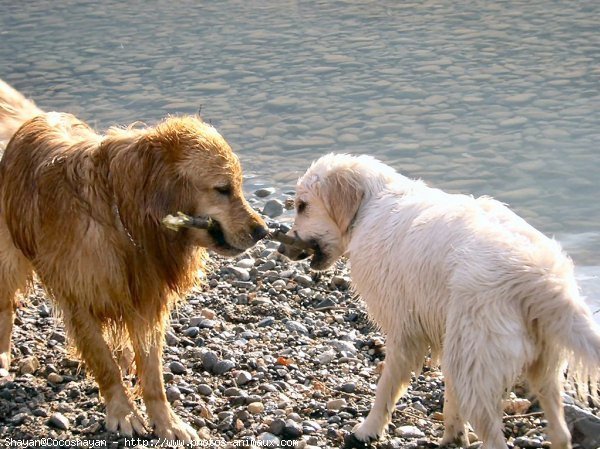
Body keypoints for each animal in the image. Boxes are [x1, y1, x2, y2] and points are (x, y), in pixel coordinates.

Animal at [0, 79, 268, 440]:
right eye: (223, 189)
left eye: (239, 186)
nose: (263, 231)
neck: (123, 216)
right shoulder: (79, 298)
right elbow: (103, 363)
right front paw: (123, 411)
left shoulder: (147, 297)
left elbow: (152, 373)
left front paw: (167, 421)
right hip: (8, 257)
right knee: (6, 305)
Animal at [278, 153, 596, 448]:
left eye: (302, 205)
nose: (282, 248)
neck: (370, 205)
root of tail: (542, 276)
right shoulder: (446, 332)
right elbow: (451, 397)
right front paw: (453, 436)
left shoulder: (405, 331)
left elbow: (386, 386)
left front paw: (368, 429)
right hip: (534, 364)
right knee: (561, 431)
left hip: (477, 362)